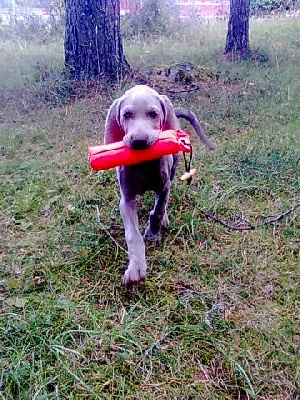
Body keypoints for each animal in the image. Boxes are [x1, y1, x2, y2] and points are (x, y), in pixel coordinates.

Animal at [104, 84, 214, 286]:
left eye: (153, 114)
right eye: (127, 115)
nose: (139, 141)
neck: (143, 163)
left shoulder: (163, 187)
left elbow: (158, 210)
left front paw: (154, 232)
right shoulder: (126, 199)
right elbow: (132, 234)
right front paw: (136, 268)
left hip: (174, 168)